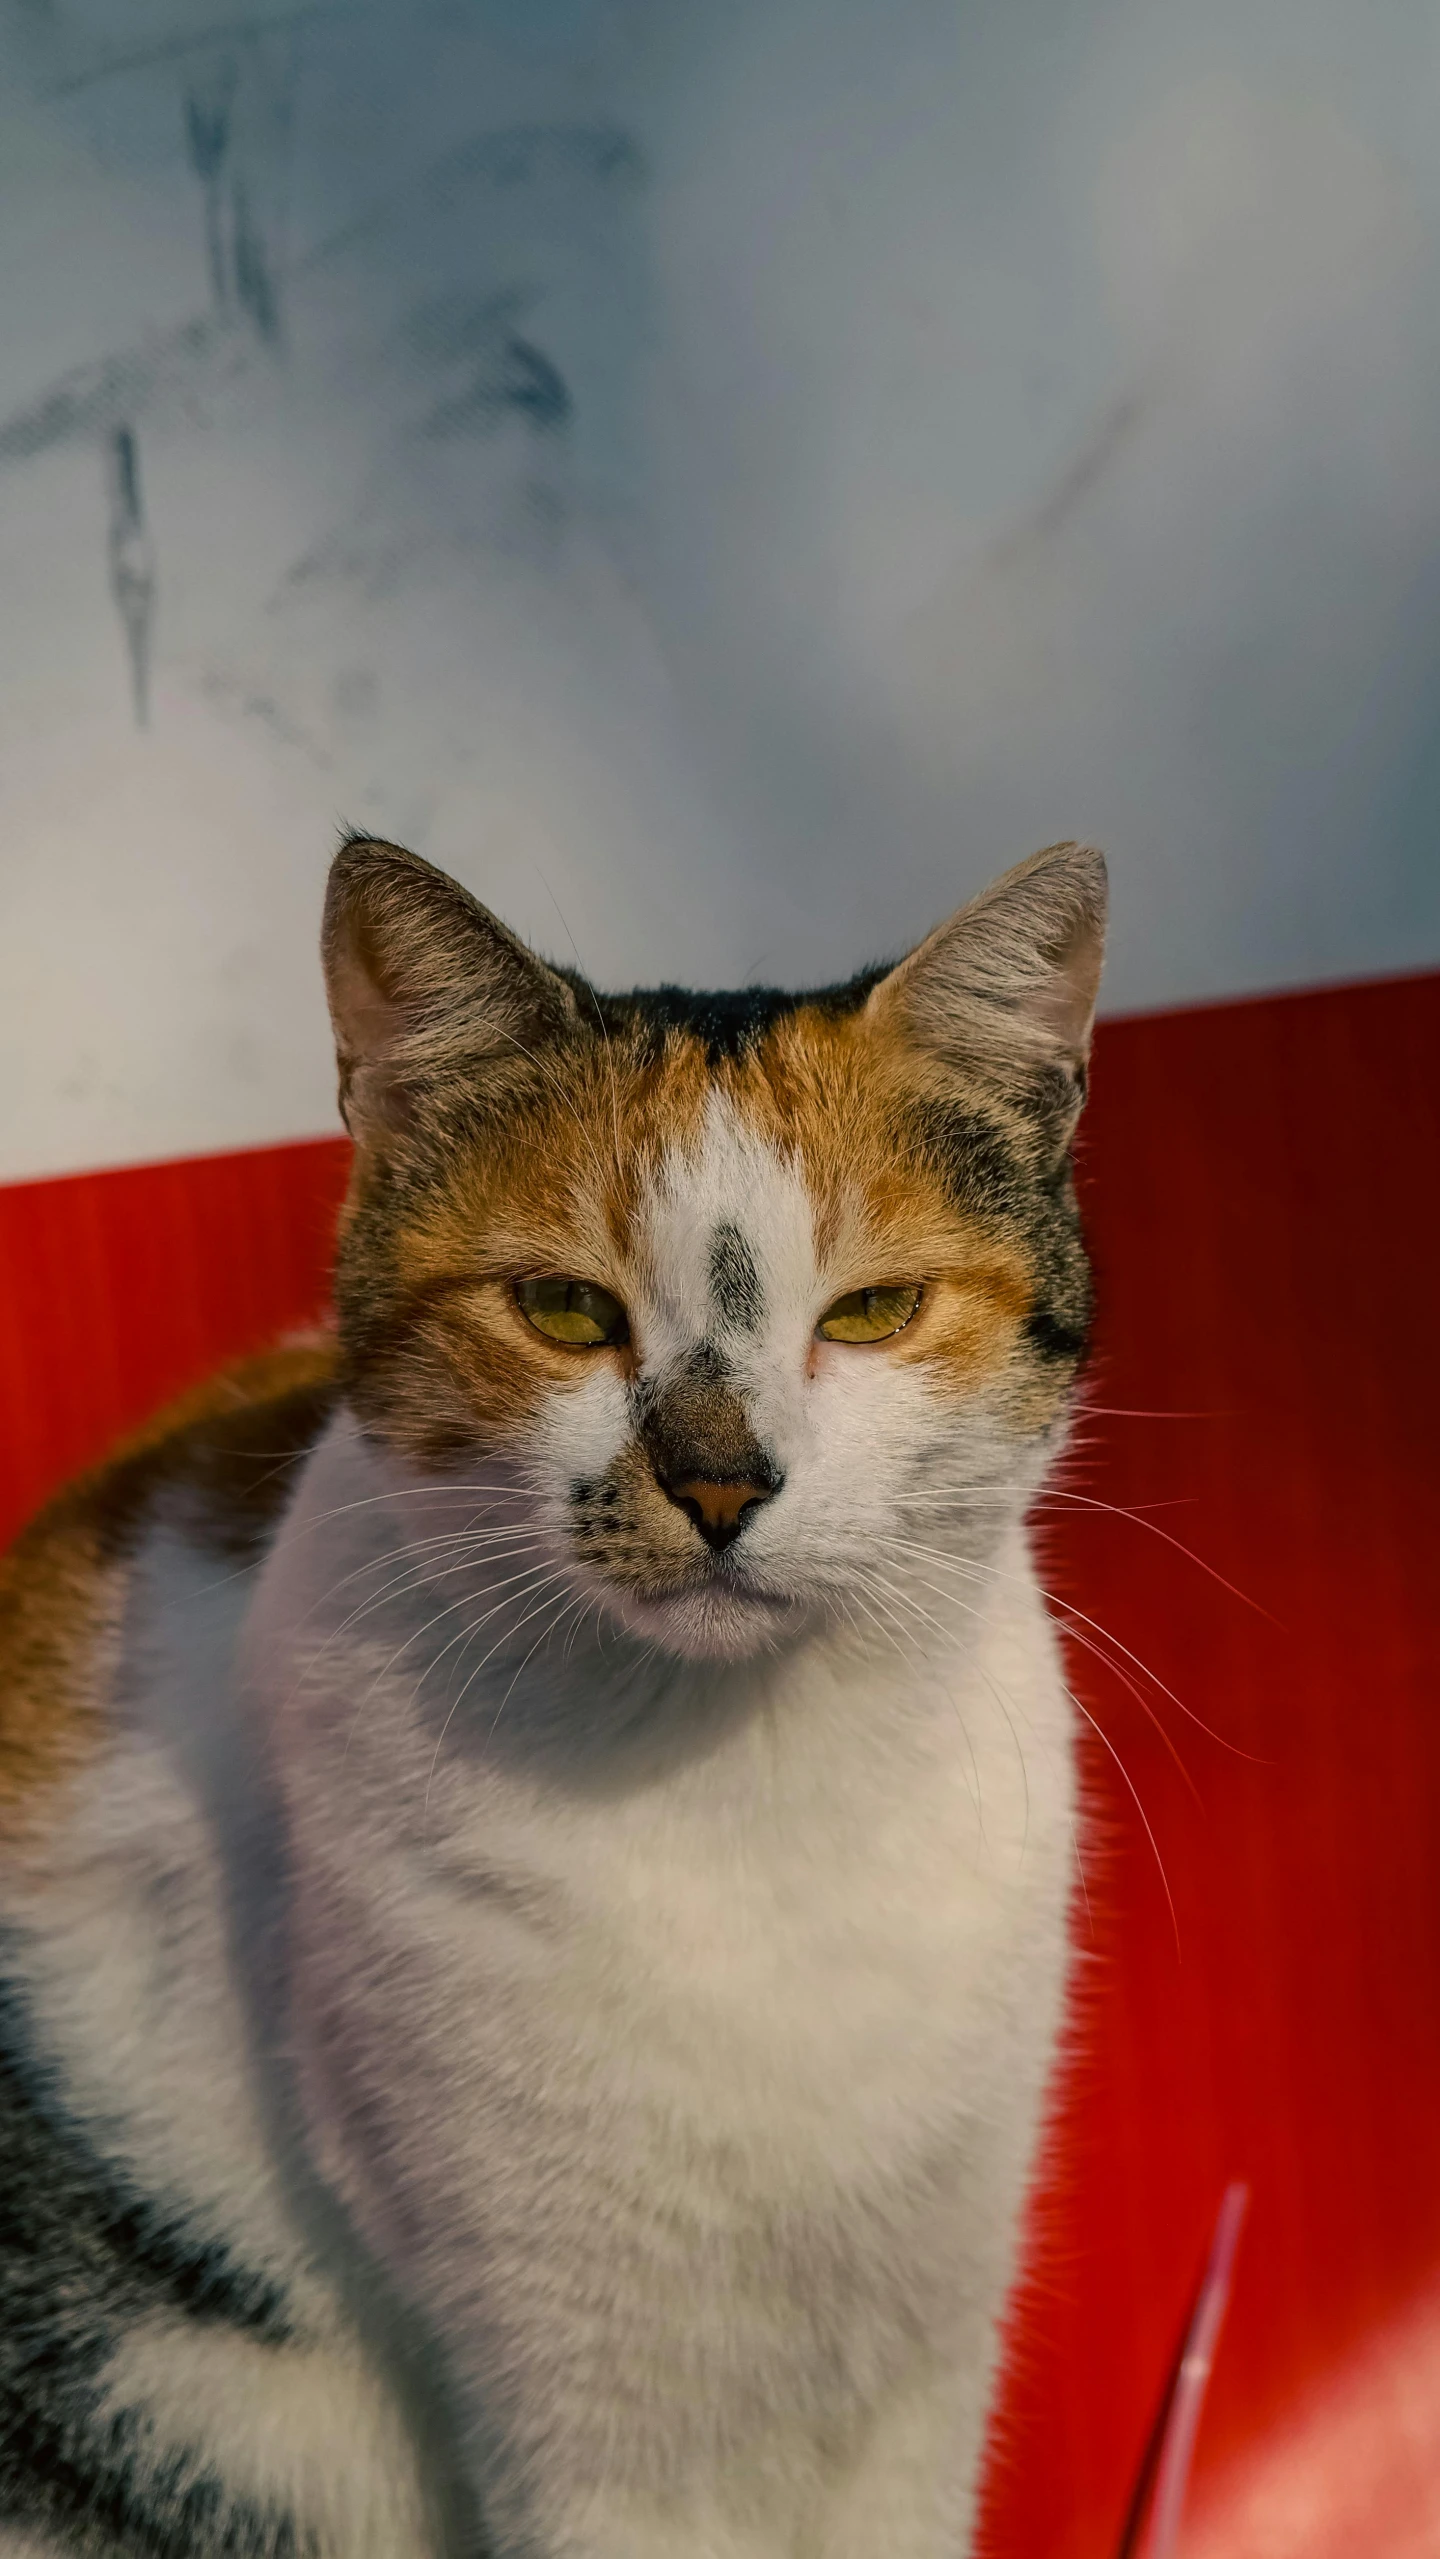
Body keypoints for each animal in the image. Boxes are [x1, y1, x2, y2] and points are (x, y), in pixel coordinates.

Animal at [0, 829, 1104, 2548]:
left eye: (872, 1309)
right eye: (566, 1309)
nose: (719, 1477)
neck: (755, 1798)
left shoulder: (922, 2349)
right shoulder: (589, 2398)